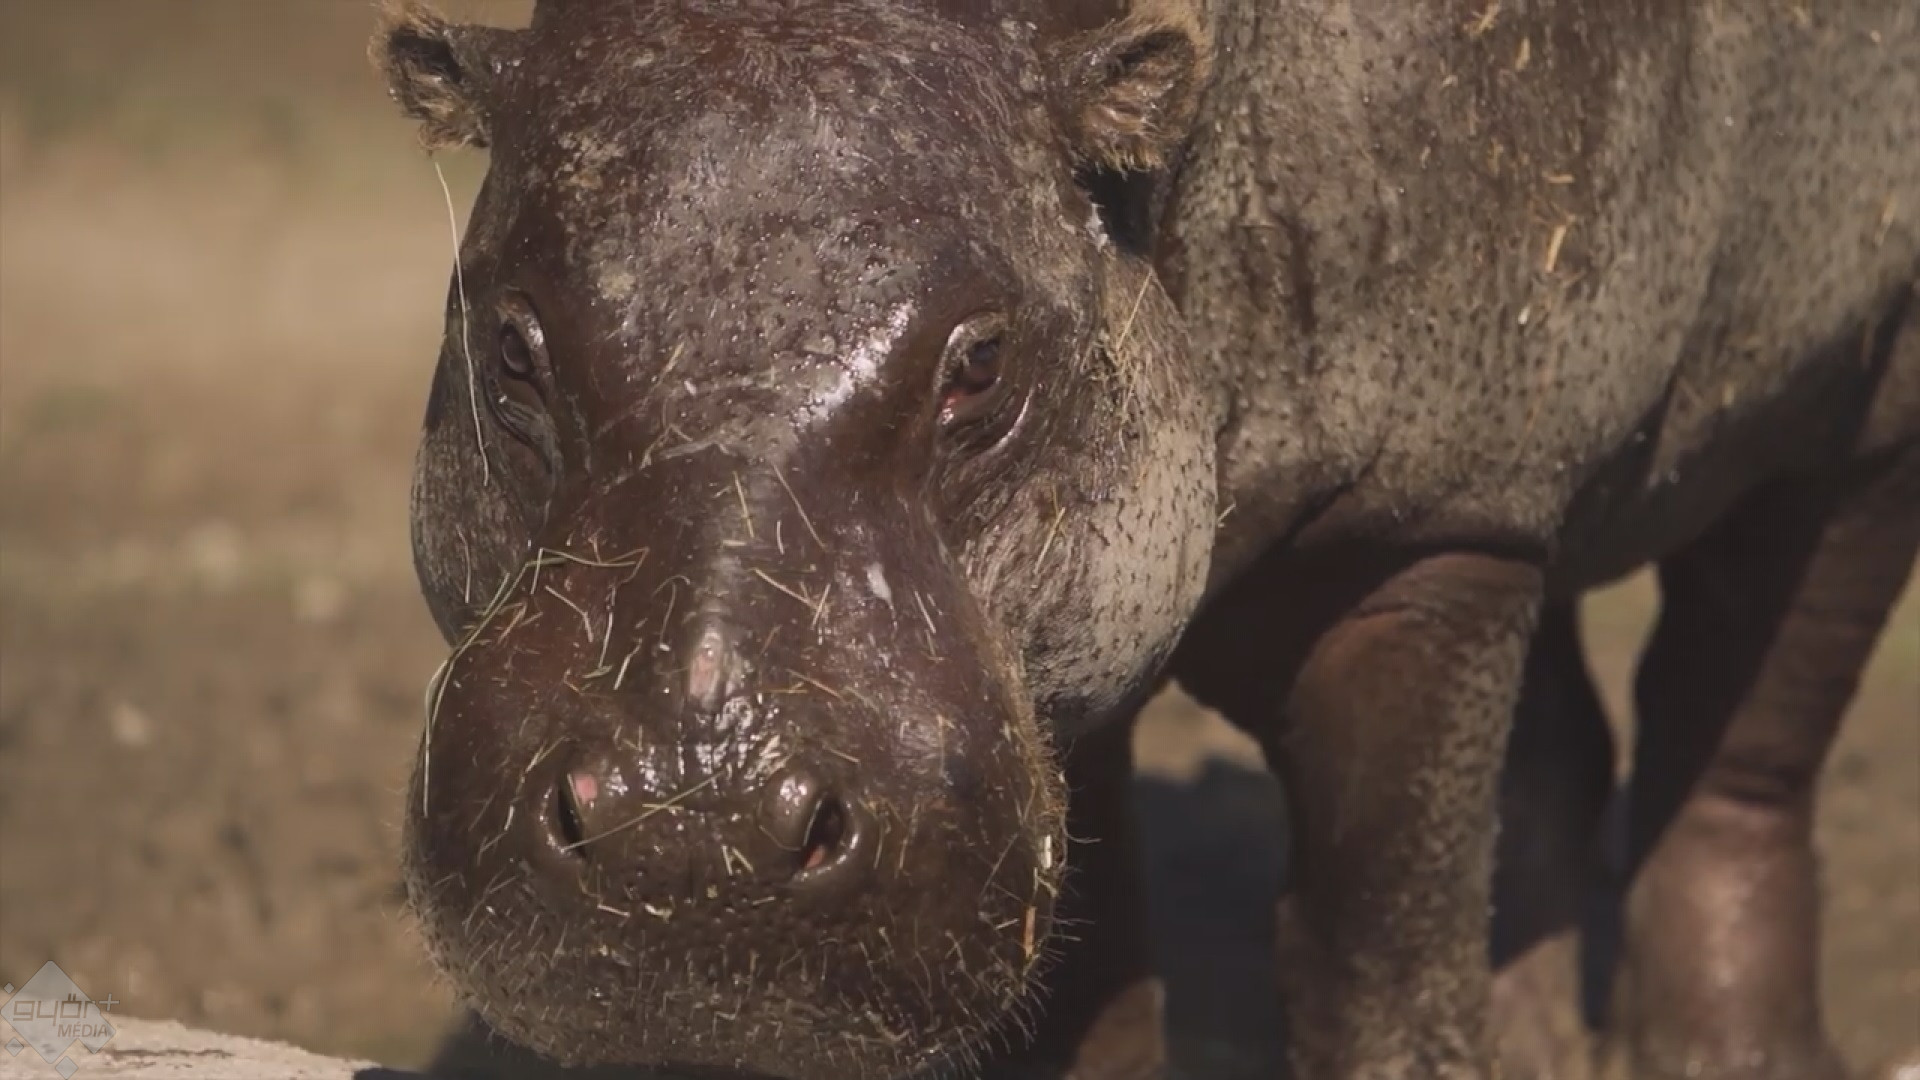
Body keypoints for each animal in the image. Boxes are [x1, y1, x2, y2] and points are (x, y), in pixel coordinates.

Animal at [372, 0, 1919, 1078]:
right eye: (508, 344)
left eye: (982, 361)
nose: (690, 829)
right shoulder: (1057, 671)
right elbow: (1091, 976)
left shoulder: (1424, 532)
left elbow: (1375, 949)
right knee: (1558, 769)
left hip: (1852, 403)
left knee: (1739, 731)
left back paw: (1742, 1055)